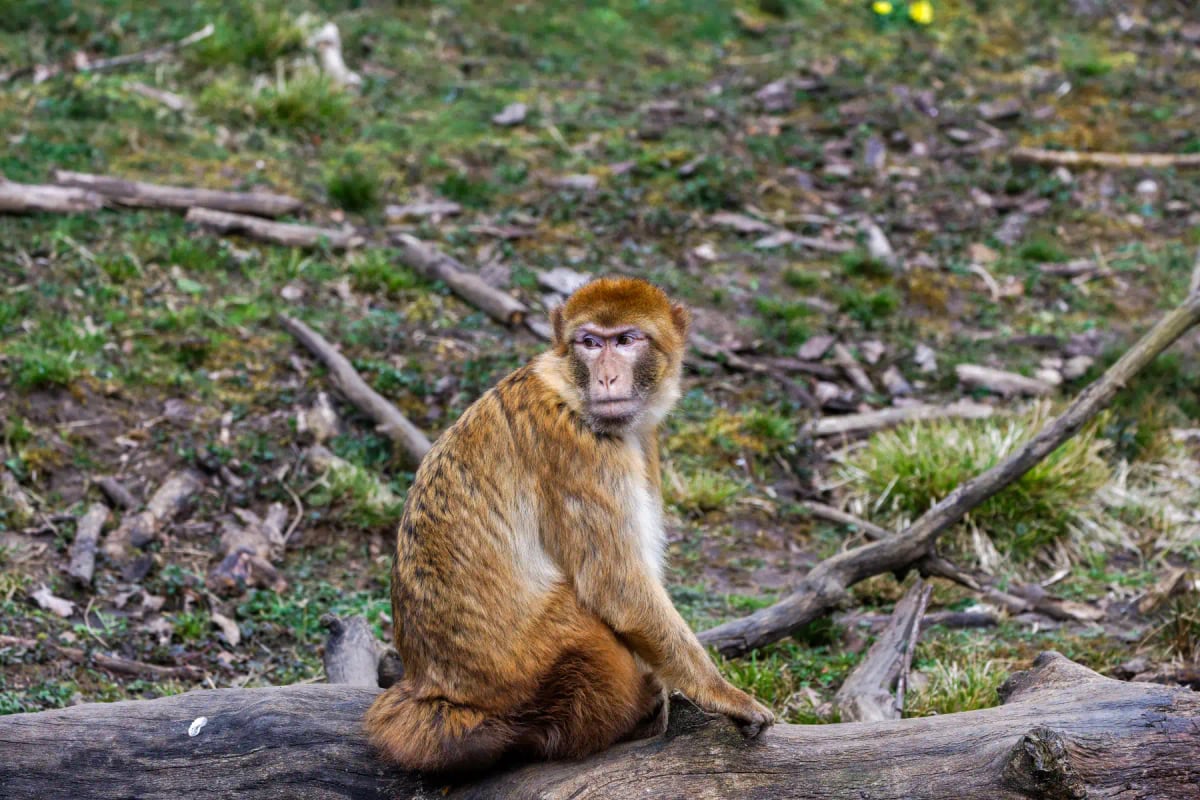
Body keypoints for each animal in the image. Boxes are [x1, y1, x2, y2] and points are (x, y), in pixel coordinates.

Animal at [364, 276, 774, 773]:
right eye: (590, 342)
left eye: (627, 340)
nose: (608, 377)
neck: (570, 391)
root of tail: (432, 692)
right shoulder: (582, 449)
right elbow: (618, 589)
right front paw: (722, 693)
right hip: (534, 671)